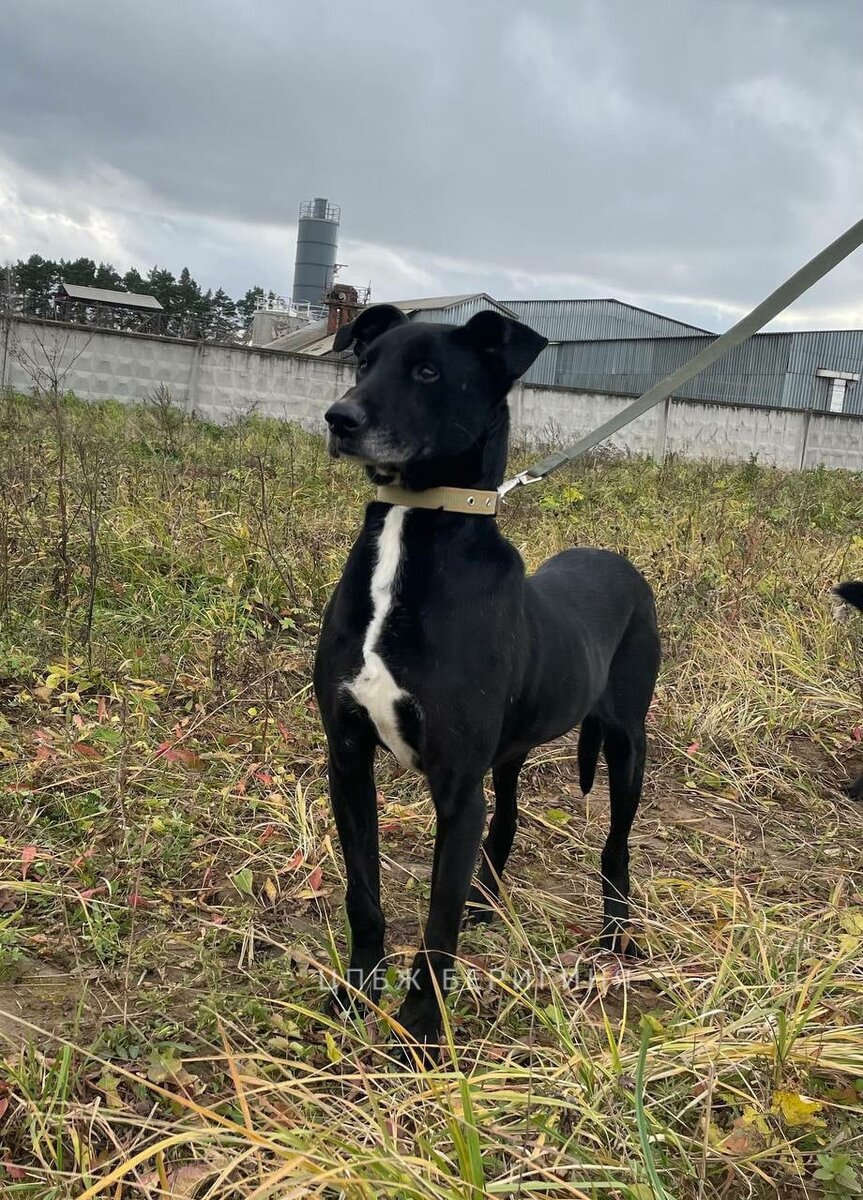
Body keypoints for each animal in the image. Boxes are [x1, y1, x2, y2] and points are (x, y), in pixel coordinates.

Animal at [313, 304, 661, 1052]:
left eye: (426, 371)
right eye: (364, 361)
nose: (339, 418)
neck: (413, 529)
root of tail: (618, 560)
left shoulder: (455, 786)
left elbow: (436, 926)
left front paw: (419, 1035)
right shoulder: (348, 760)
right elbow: (364, 895)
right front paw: (355, 996)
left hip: (626, 746)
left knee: (616, 845)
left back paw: (615, 932)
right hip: (509, 752)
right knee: (507, 817)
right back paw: (486, 898)